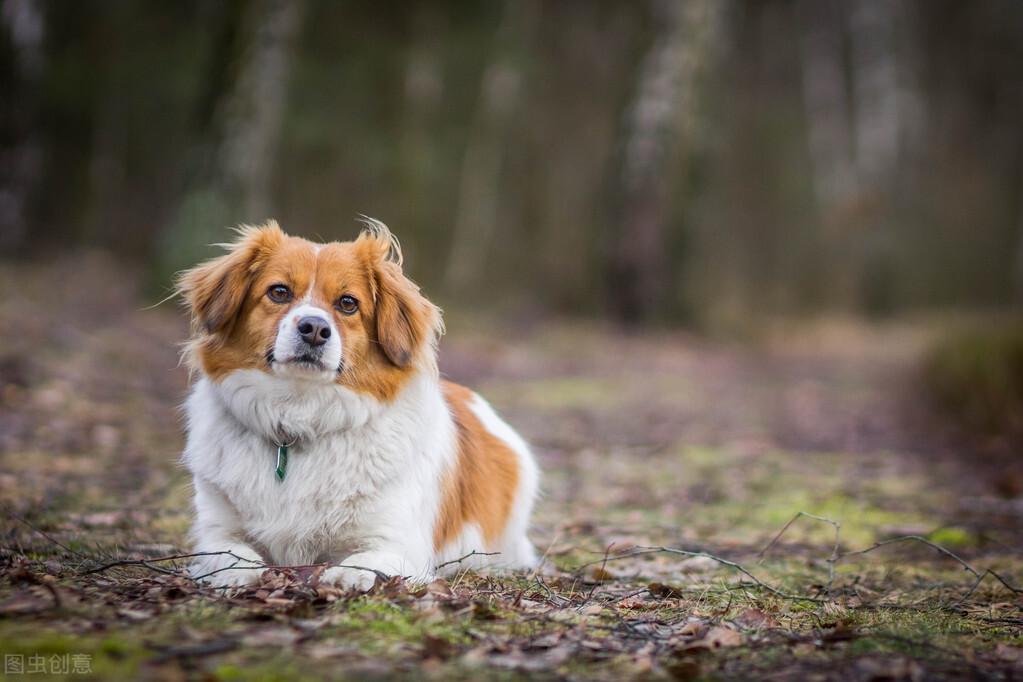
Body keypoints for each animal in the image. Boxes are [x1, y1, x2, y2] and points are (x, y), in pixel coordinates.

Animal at [175, 221, 544, 588]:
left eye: (348, 303)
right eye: (279, 292)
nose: (314, 328)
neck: (299, 416)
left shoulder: (398, 543)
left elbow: (362, 561)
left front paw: (345, 575)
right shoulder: (216, 530)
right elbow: (228, 552)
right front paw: (241, 573)